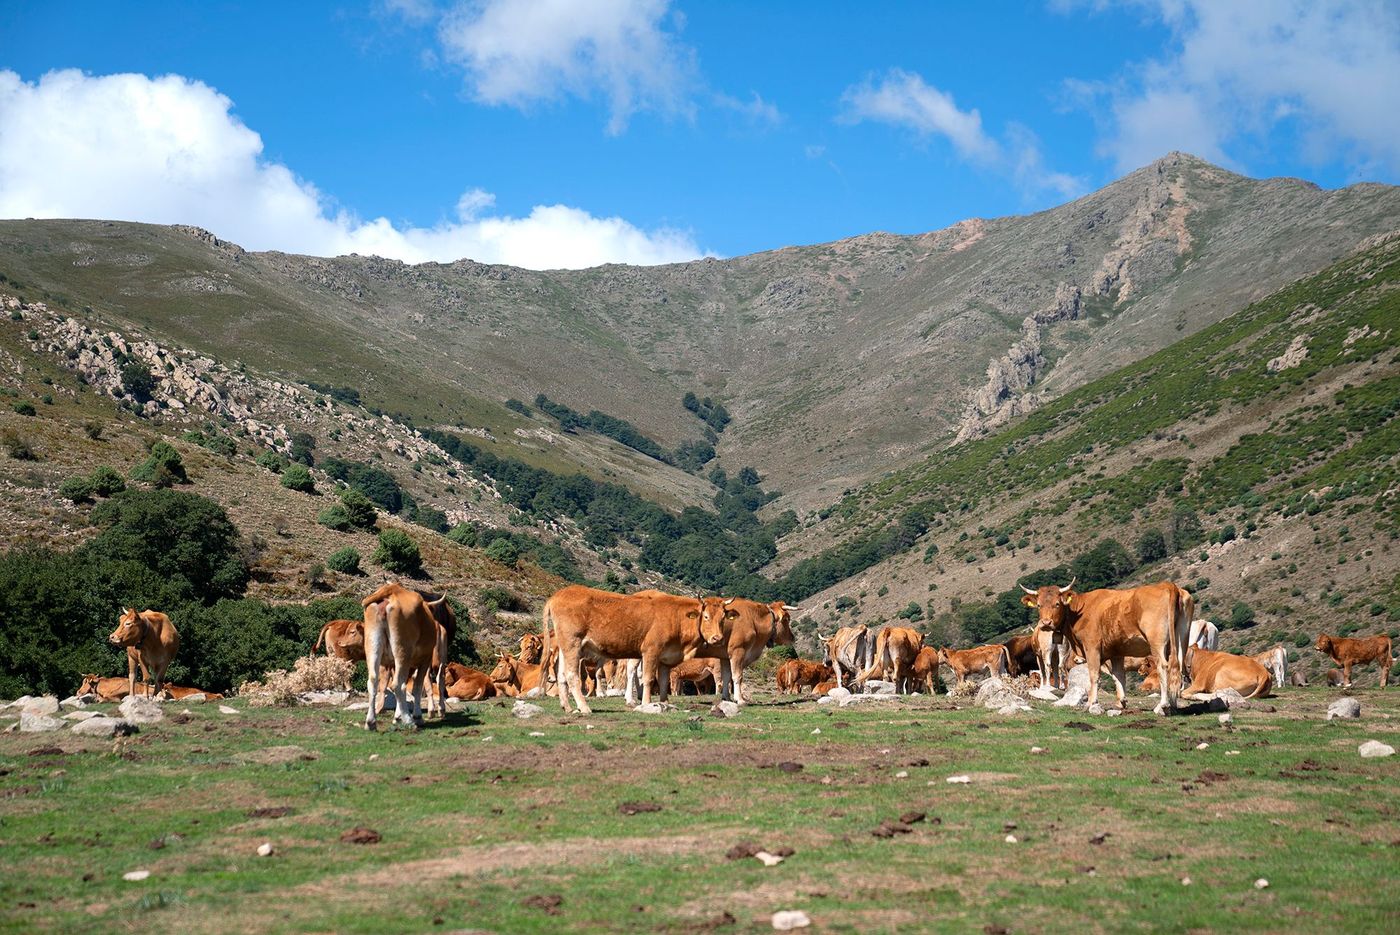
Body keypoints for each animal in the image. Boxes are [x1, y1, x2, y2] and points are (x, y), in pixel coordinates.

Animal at [360, 582, 438, 730]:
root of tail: (391, 590)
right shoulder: (425, 659)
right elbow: (417, 687)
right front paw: (416, 717)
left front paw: (397, 717)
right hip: (403, 651)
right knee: (397, 684)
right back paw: (409, 720)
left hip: (372, 646)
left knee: (373, 681)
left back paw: (370, 722)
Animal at [539, 586, 730, 715]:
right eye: (706, 616)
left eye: (723, 618)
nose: (717, 638)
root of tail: (560, 594)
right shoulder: (651, 651)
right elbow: (647, 679)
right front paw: (646, 703)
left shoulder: (666, 657)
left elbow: (663, 682)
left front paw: (666, 704)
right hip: (573, 643)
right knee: (572, 675)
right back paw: (584, 707)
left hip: (565, 646)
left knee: (561, 675)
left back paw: (567, 707)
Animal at [1021, 579, 1192, 713]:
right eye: (1038, 605)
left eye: (1057, 604)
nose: (1046, 623)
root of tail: (1167, 585)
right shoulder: (1116, 651)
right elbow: (1119, 676)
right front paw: (1121, 702)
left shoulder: (1092, 648)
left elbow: (1094, 675)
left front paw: (1091, 703)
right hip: (1182, 639)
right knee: (1178, 668)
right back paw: (1173, 704)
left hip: (1157, 642)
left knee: (1163, 666)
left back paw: (1162, 705)